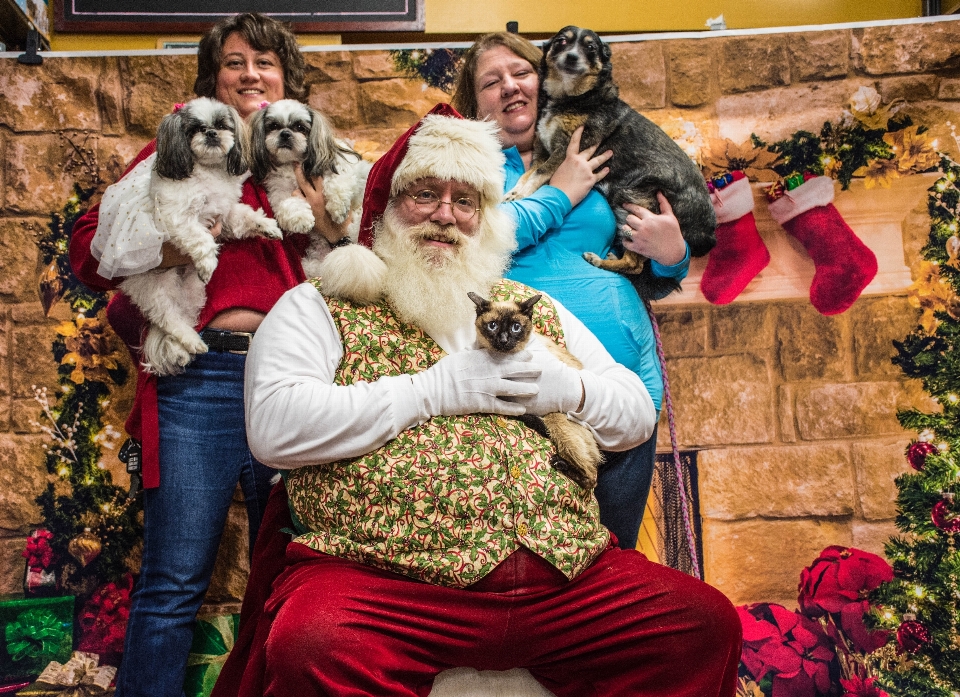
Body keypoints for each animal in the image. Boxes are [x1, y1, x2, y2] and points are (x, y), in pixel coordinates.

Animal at [119, 96, 282, 376]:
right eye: (194, 129)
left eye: (222, 125)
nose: (211, 133)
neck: (208, 172)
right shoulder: (178, 218)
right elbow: (201, 239)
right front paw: (207, 263)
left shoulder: (223, 215)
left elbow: (245, 217)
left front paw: (267, 227)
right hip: (155, 289)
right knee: (169, 319)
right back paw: (191, 342)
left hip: (193, 292)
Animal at [248, 98, 372, 278]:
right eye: (273, 126)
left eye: (300, 127)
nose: (285, 133)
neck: (294, 164)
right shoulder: (279, 191)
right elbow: (289, 204)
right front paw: (301, 219)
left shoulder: (350, 171)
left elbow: (338, 180)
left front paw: (338, 208)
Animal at [506, 25, 716, 300]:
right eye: (562, 41)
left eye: (590, 47)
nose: (572, 57)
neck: (570, 98)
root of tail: (709, 230)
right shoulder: (542, 152)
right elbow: (527, 175)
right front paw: (514, 192)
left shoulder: (565, 152)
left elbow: (540, 175)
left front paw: (522, 195)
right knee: (635, 263)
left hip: (636, 202)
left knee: (636, 264)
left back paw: (599, 261)